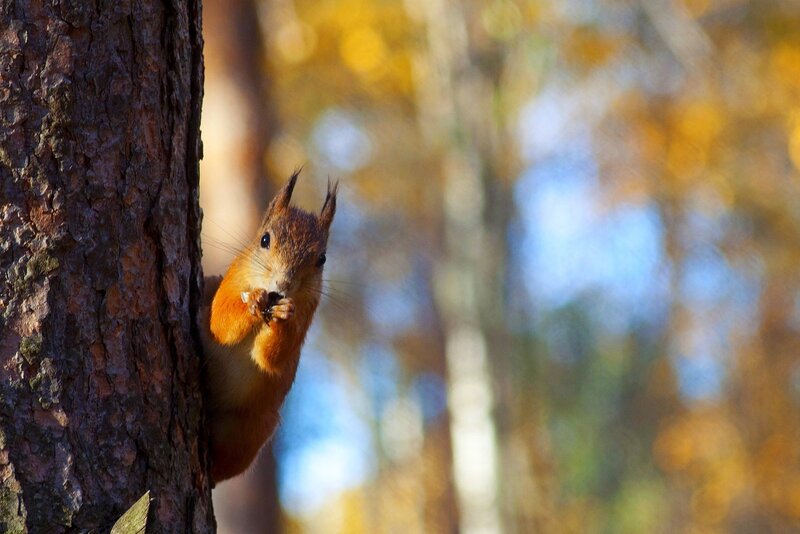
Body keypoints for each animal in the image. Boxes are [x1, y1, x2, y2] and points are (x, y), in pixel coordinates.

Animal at [199, 170, 337, 484]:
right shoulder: (230, 283)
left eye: (321, 259)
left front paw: (284, 315)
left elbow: (272, 358)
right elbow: (219, 324)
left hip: (251, 430)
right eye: (264, 239)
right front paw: (254, 301)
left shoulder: (307, 314)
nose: (282, 285)